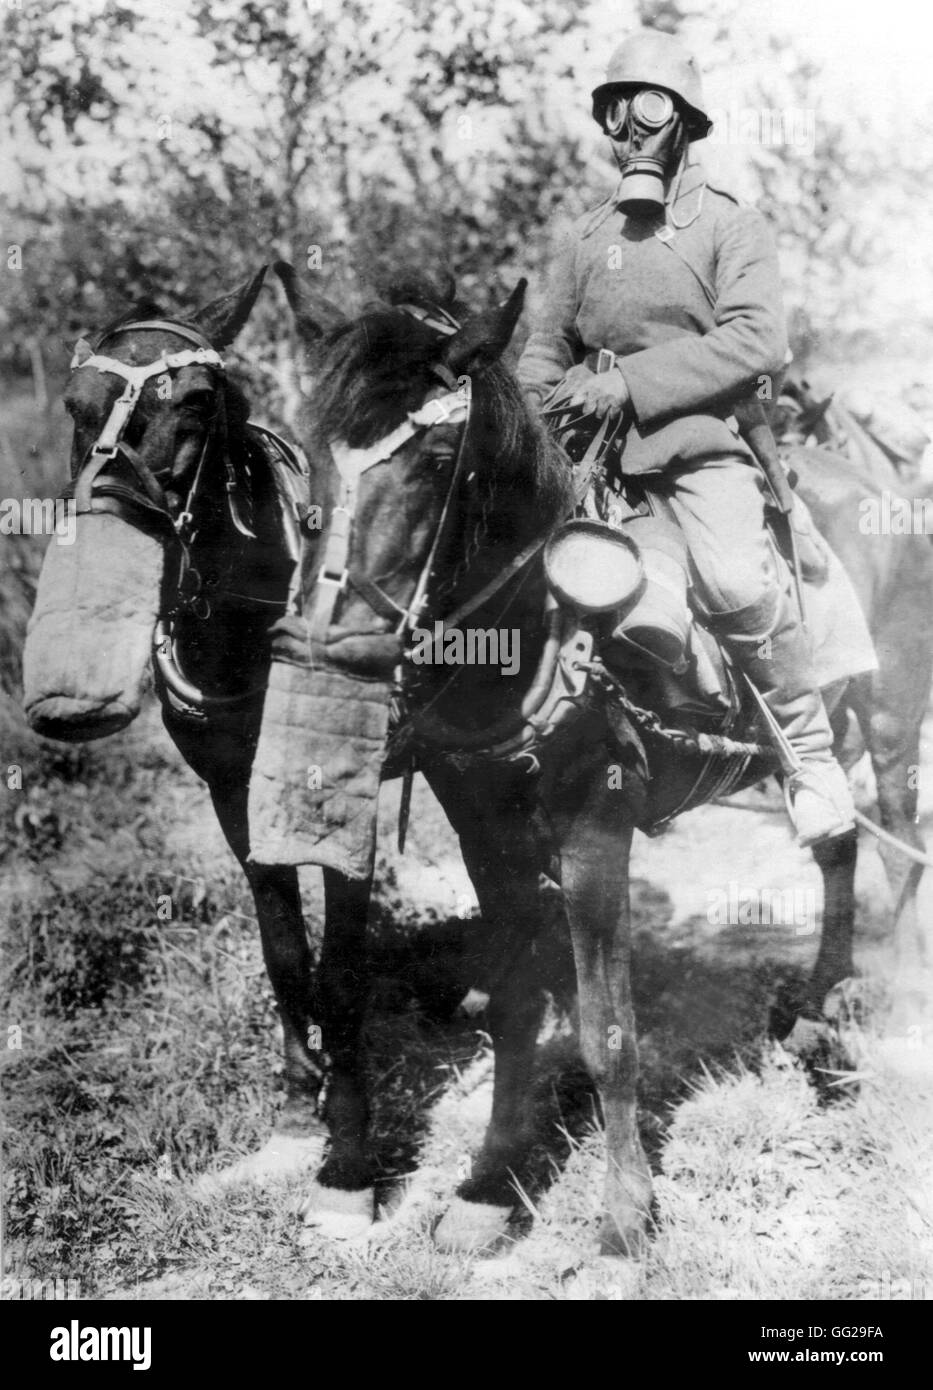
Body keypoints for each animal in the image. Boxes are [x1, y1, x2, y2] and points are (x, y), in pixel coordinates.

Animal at [23, 262, 933, 1262]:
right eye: (76, 406)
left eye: (195, 403)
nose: (334, 643)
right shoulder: (391, 813)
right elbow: (446, 993)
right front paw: (479, 1183)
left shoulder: (584, 828)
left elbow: (604, 1026)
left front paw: (618, 1213)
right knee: (838, 845)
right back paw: (809, 1011)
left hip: (887, 720)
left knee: (891, 847)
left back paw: (882, 1001)